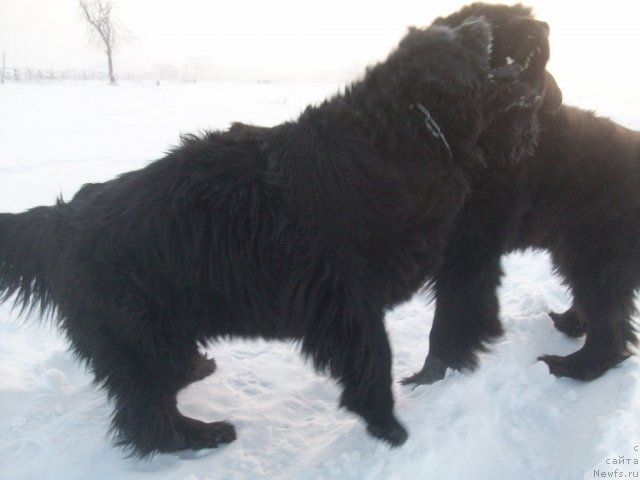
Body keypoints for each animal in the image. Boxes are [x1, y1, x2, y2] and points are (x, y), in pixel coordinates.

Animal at [0, 16, 552, 456]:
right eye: (460, 42)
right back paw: (202, 435)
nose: (482, 23)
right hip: (145, 340)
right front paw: (388, 428)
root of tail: (57, 222)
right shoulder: (344, 300)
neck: (399, 135)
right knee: (146, 416)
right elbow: (372, 361)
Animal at [404, 1, 640, 386]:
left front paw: (430, 379)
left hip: (595, 254)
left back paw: (568, 365)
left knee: (610, 329)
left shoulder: (469, 250)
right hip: (573, 250)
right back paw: (569, 323)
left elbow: (450, 318)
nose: (540, 30)